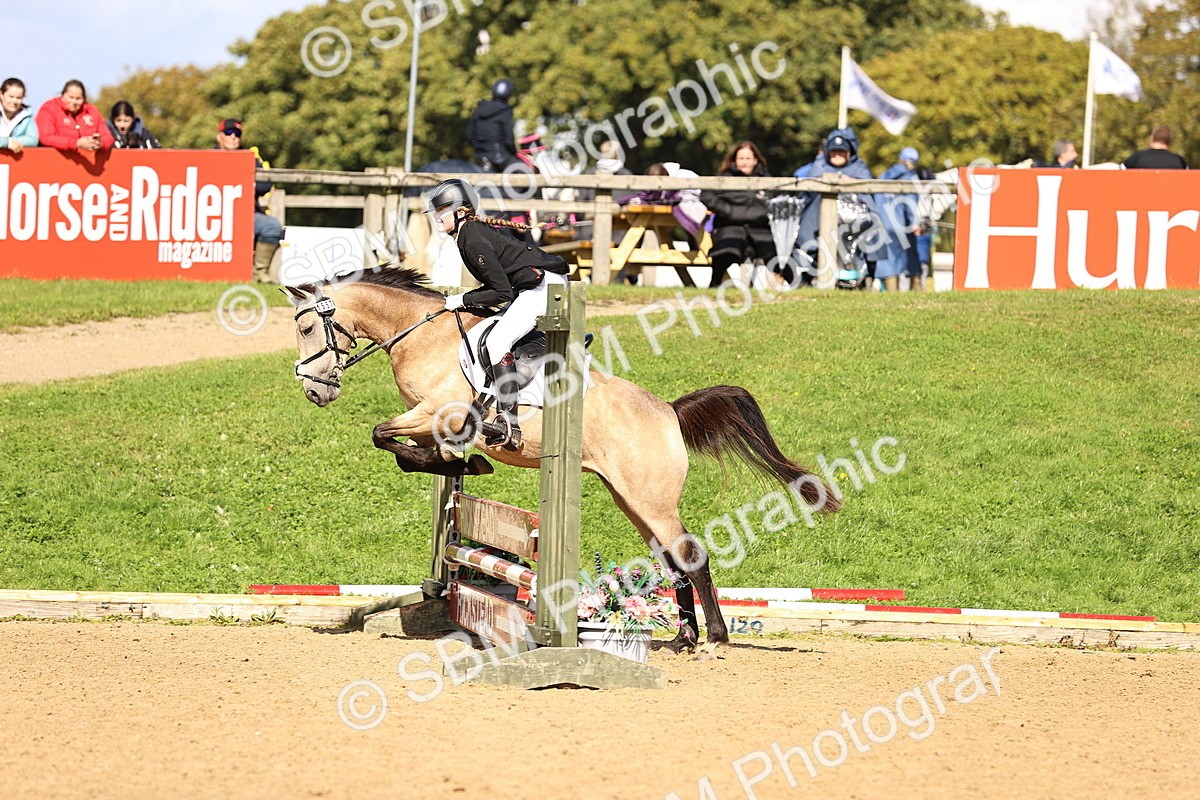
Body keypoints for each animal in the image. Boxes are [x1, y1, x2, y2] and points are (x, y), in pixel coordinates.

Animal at [286, 267, 840, 655]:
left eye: (310, 327)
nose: (314, 391)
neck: (419, 335)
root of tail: (668, 411)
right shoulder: (433, 420)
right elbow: (418, 452)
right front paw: (461, 466)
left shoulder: (440, 412)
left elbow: (383, 435)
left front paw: (465, 464)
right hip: (631, 499)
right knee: (673, 559)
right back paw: (685, 638)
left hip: (650, 499)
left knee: (690, 555)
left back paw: (715, 639)